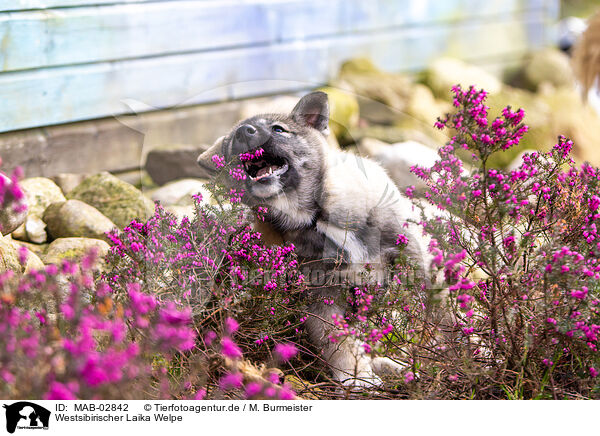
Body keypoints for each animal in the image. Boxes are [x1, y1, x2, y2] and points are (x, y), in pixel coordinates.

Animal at [198, 93, 432, 388]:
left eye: (278, 130)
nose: (243, 133)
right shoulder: (322, 295)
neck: (314, 213)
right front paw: (355, 378)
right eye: (230, 145)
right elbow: (337, 341)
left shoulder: (414, 257)